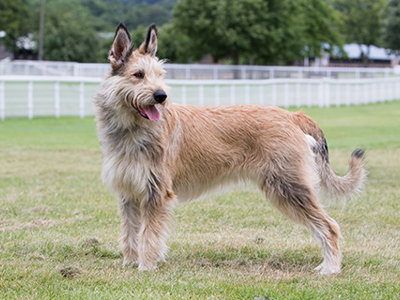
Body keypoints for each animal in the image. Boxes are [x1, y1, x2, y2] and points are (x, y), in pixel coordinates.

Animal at [93, 23, 366, 274]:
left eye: (160, 75)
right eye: (138, 74)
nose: (161, 96)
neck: (132, 129)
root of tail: (293, 115)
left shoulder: (156, 192)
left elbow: (149, 235)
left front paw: (146, 267)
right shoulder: (128, 193)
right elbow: (130, 233)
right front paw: (130, 262)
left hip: (290, 187)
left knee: (330, 226)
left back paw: (330, 268)